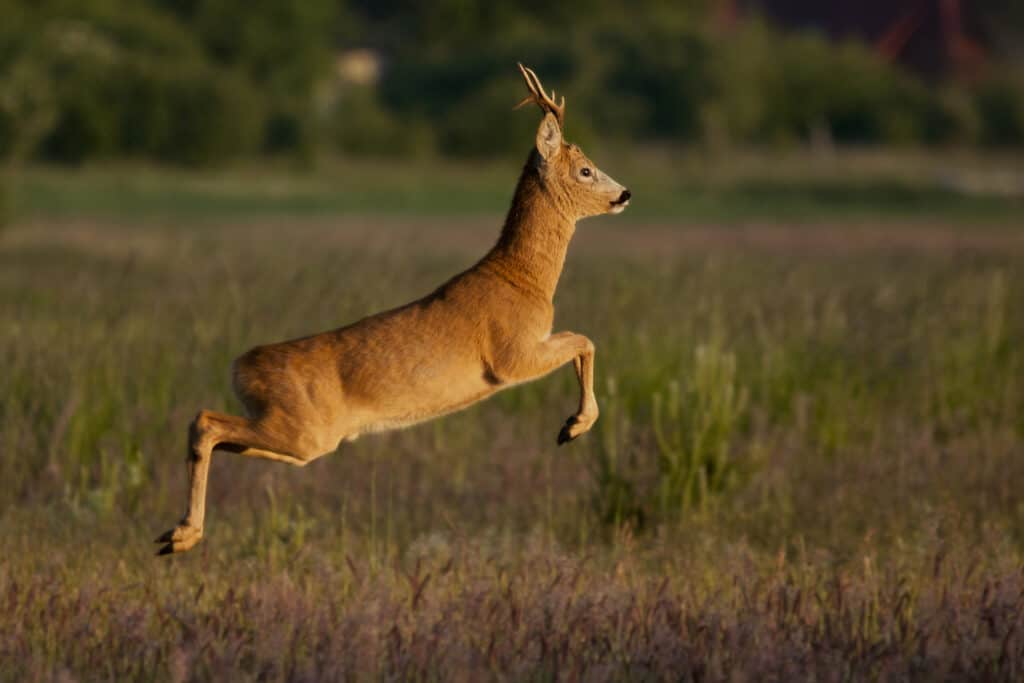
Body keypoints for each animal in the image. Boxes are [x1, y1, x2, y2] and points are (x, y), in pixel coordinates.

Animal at [156, 63, 630, 557]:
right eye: (586, 170)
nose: (625, 194)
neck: (522, 279)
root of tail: (240, 366)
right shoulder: (510, 357)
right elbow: (585, 340)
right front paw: (573, 426)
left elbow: (582, 342)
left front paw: (572, 424)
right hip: (301, 427)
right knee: (205, 421)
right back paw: (181, 534)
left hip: (301, 435)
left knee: (216, 431)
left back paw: (176, 536)